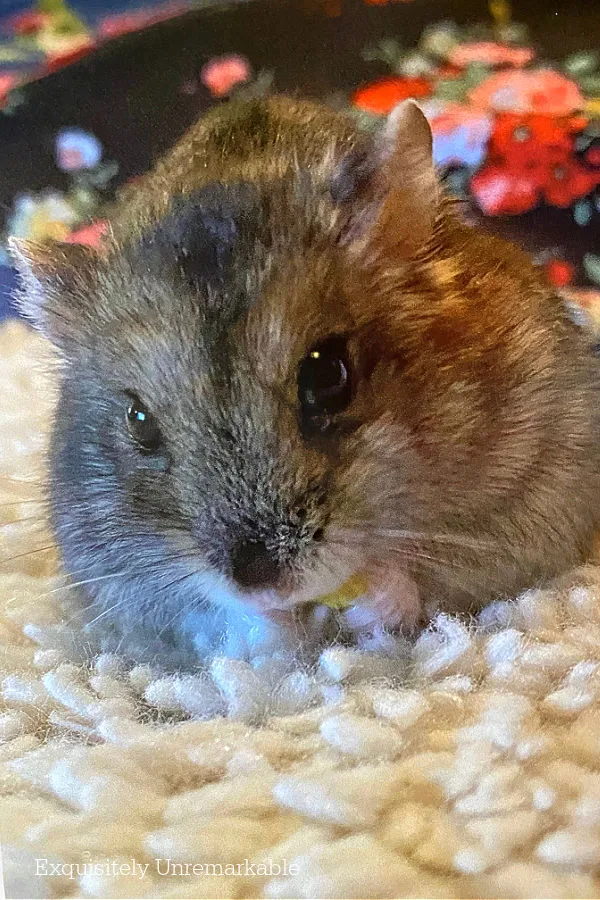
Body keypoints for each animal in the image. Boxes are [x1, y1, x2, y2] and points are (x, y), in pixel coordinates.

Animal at [10, 95, 600, 652]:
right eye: (138, 420)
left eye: (328, 376)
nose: (262, 583)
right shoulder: (116, 581)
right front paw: (275, 625)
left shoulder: (536, 502)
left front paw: (372, 600)